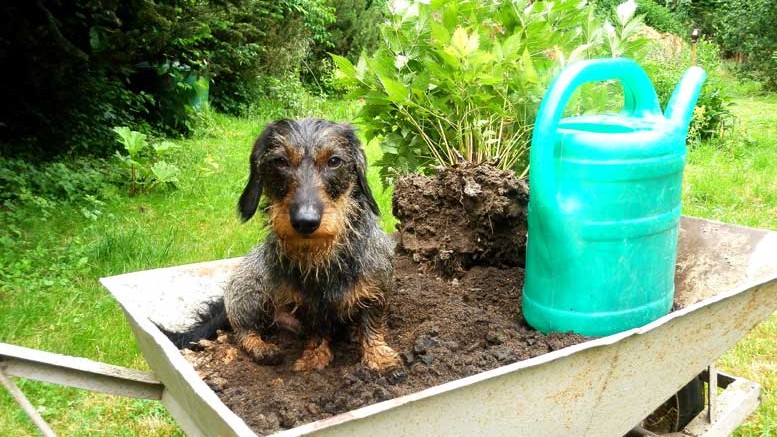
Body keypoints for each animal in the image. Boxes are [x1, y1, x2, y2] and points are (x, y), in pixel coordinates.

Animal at [167, 118, 404, 372]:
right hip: (252, 290)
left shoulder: (377, 290)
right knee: (242, 332)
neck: (322, 257)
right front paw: (314, 358)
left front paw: (379, 358)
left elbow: (372, 324)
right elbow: (315, 331)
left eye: (334, 161)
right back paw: (262, 348)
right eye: (280, 161)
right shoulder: (305, 306)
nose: (305, 221)